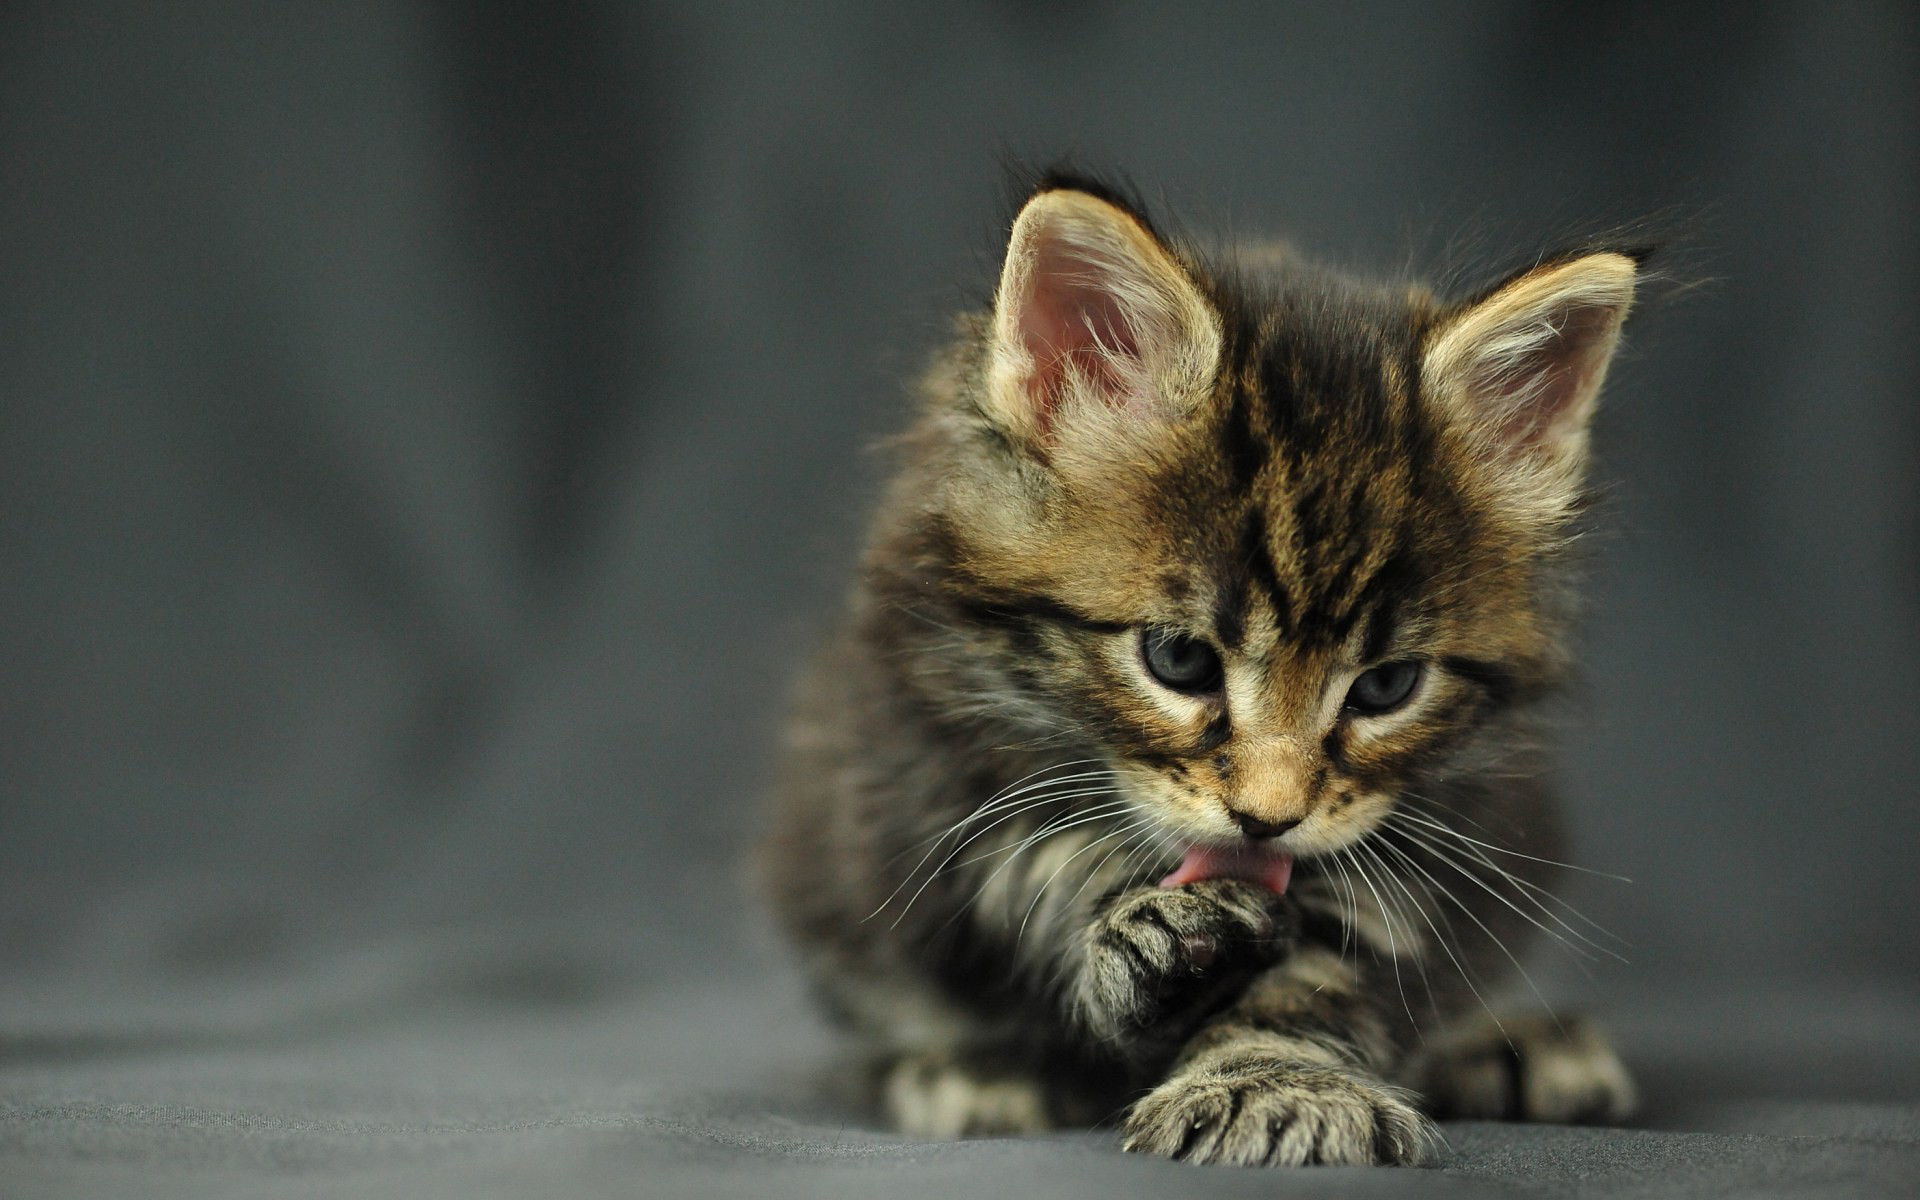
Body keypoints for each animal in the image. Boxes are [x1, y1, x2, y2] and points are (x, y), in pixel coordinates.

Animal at [760, 172, 1635, 1167]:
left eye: (1385, 688)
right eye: (1178, 660)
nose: (1268, 820)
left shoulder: (1437, 830)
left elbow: (1322, 974)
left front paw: (1272, 1081)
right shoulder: (933, 761)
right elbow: (1038, 878)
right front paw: (1151, 941)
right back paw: (971, 1071)